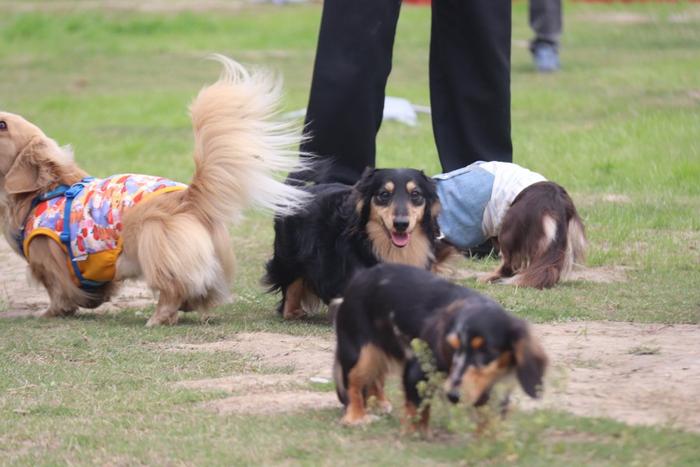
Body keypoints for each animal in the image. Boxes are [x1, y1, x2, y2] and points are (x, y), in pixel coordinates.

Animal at [332, 266, 548, 434]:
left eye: (485, 351)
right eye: (452, 347)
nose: (453, 396)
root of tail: (361, 276)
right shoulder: (415, 372)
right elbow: (417, 408)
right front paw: (414, 434)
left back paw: (379, 403)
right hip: (362, 353)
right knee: (354, 385)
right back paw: (356, 417)